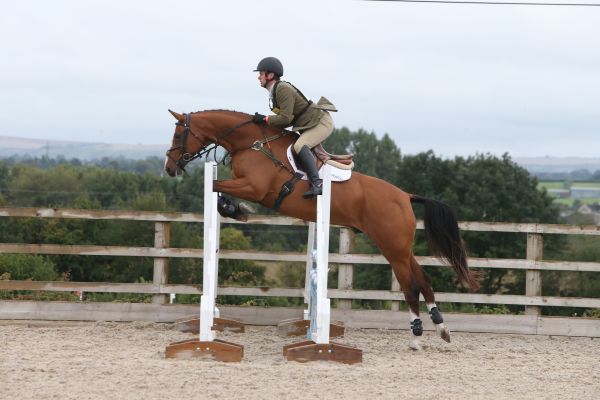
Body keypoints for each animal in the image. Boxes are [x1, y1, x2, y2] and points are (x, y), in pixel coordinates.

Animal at [163, 109, 478, 350]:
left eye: (178, 135)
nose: (169, 167)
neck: (252, 143)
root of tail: (405, 196)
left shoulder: (255, 188)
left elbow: (217, 187)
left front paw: (237, 209)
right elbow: (217, 191)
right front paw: (235, 210)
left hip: (392, 248)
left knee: (410, 287)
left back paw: (416, 338)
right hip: (401, 247)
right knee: (423, 280)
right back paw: (441, 329)